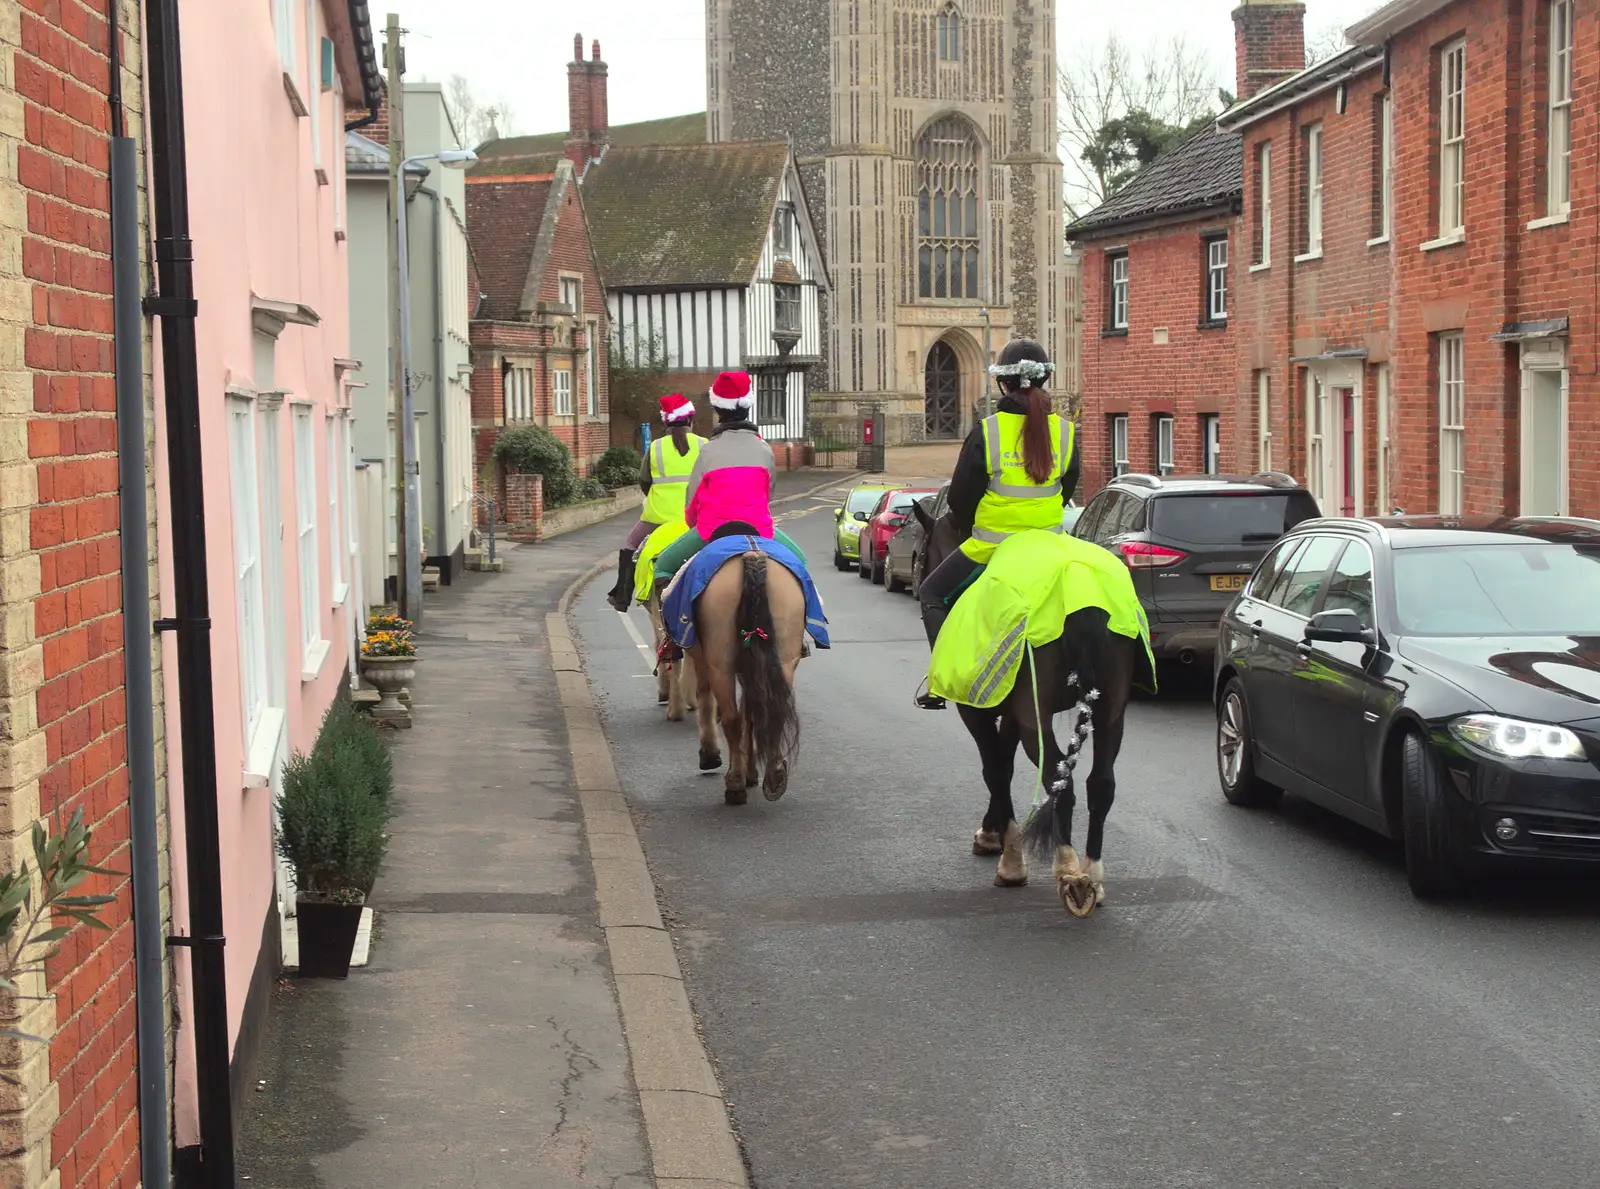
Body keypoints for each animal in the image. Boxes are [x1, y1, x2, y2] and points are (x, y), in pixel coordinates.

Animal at [691, 547, 806, 803]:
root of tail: (752, 555)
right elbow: (752, 714)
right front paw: (751, 772)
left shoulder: (701, 659)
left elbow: (705, 697)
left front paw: (711, 756)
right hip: (784, 657)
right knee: (772, 711)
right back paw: (773, 777)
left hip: (720, 665)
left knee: (732, 720)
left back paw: (735, 783)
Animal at [915, 502, 1139, 921]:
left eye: (922, 554)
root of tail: (1081, 594)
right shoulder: (1009, 708)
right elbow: (1004, 762)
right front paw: (994, 833)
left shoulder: (980, 710)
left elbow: (994, 768)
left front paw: (1009, 859)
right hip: (1110, 714)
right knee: (1101, 784)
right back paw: (1093, 876)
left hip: (1037, 717)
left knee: (1058, 781)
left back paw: (1070, 874)